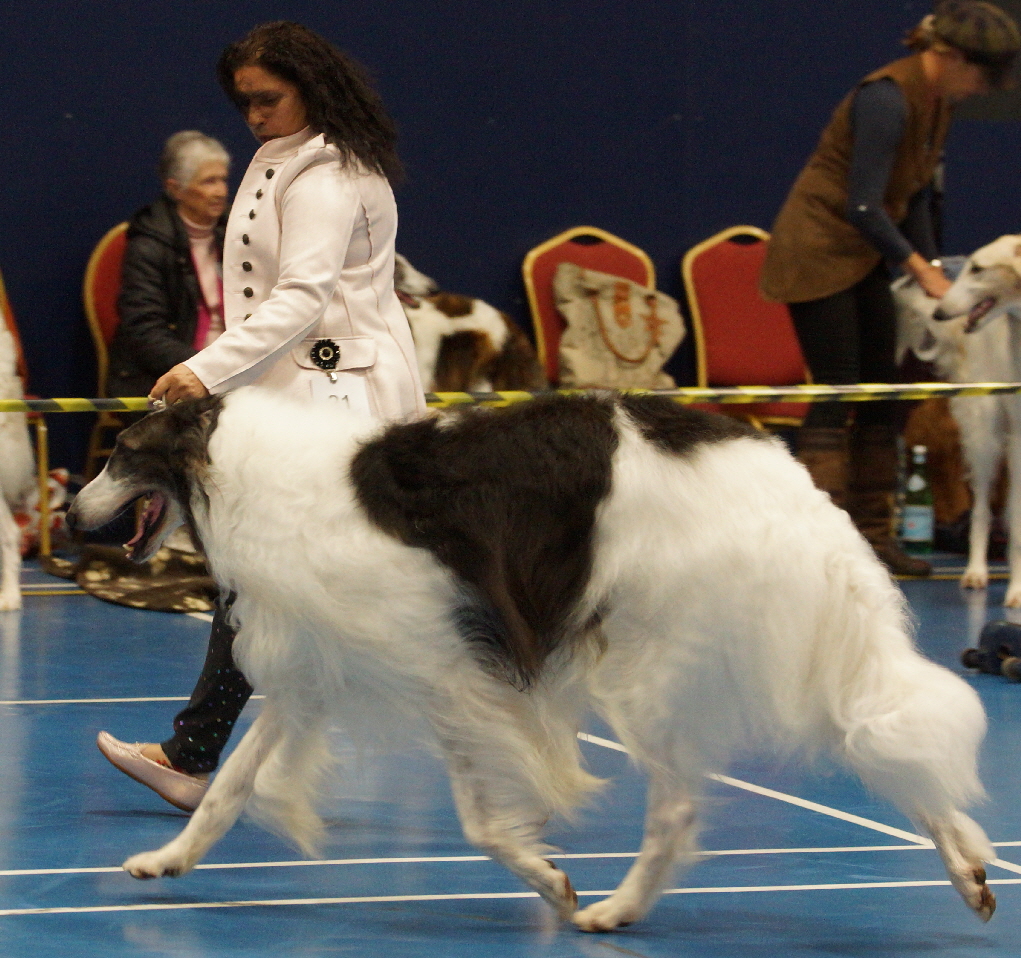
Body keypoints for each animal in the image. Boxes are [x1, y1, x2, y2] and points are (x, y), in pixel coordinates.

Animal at [69, 386, 996, 927]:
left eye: (119, 453)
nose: (74, 515)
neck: (244, 473)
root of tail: (792, 483)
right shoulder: (314, 668)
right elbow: (227, 788)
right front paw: (167, 860)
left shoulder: (448, 668)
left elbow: (483, 822)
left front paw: (548, 878)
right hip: (783, 647)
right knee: (875, 738)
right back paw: (966, 863)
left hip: (656, 668)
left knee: (679, 810)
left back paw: (615, 911)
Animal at [898, 233, 1021, 600]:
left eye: (978, 269)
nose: (940, 312)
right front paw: (1017, 591)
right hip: (986, 434)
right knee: (981, 511)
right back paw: (976, 571)